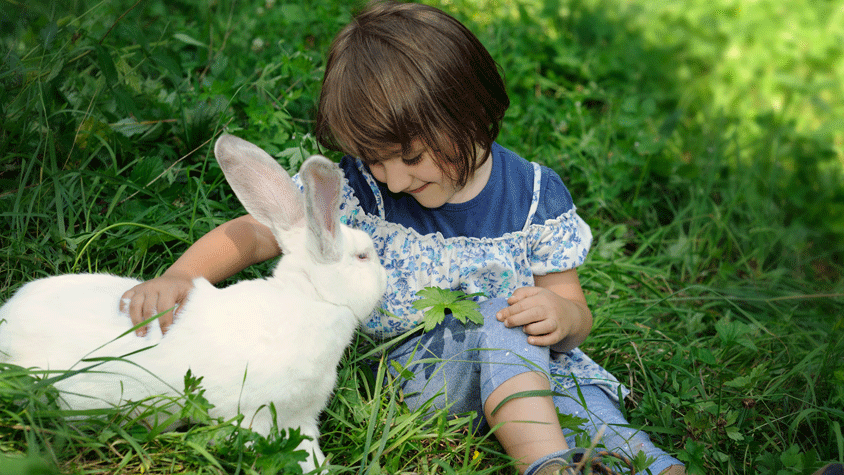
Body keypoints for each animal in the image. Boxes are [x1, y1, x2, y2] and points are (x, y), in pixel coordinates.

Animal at [0, 134, 388, 473]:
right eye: (363, 256)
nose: (386, 278)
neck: (312, 299)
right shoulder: (254, 415)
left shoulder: (301, 419)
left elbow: (309, 454)